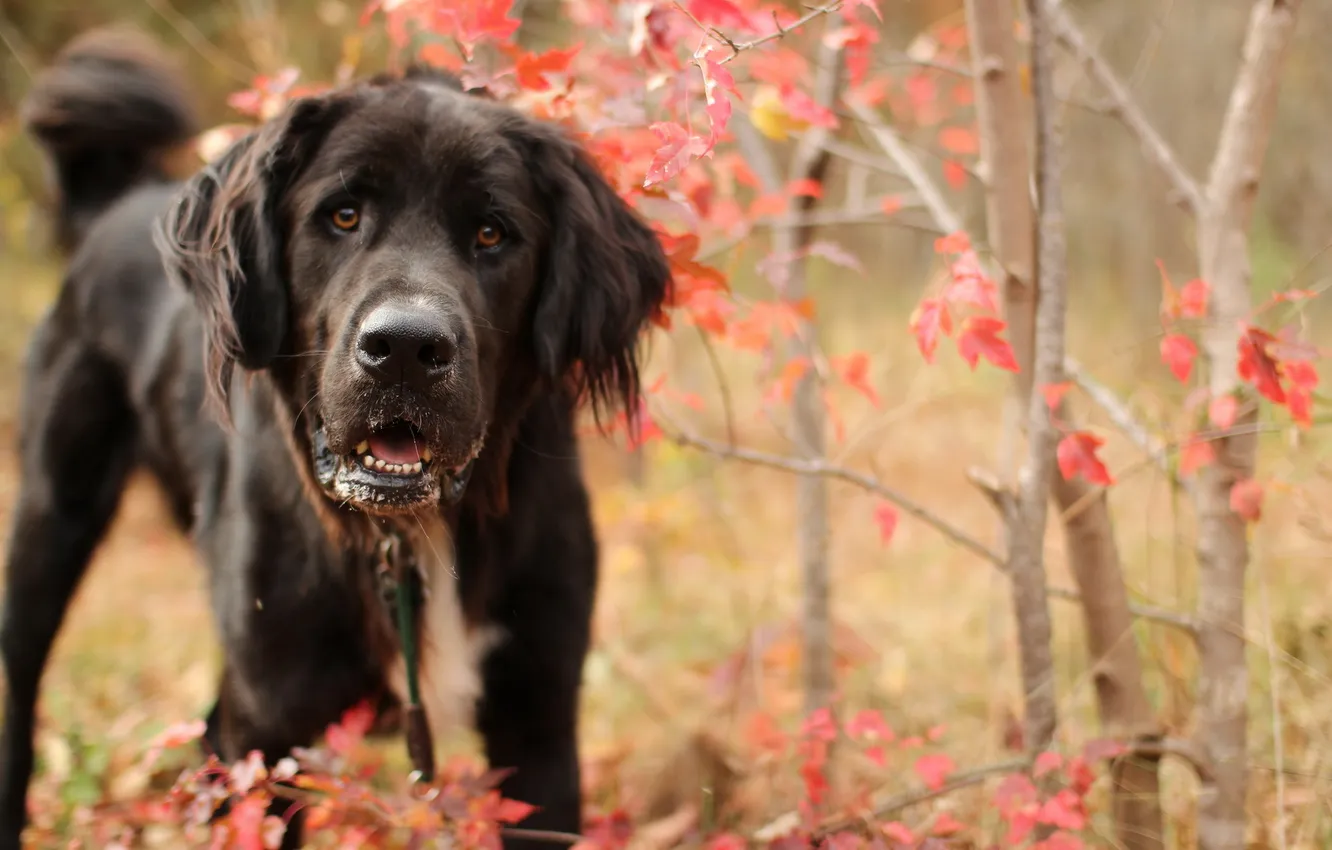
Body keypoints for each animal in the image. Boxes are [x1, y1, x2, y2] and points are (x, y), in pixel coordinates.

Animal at [0, 28, 666, 850]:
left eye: (492, 233)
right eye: (343, 216)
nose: (405, 349)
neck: (404, 536)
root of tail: (118, 203)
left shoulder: (538, 724)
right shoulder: (273, 726)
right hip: (48, 526)